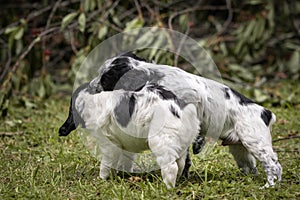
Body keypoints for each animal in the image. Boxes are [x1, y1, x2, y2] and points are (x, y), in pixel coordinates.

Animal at [58, 82, 199, 188]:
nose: (61, 130)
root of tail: (179, 110)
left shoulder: (108, 143)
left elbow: (106, 163)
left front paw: (102, 178)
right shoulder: (126, 143)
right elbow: (126, 159)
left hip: (160, 141)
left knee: (171, 167)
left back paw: (168, 187)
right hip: (179, 143)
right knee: (180, 163)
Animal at [89, 52, 284, 188]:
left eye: (105, 78)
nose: (91, 87)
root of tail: (266, 112)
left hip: (255, 141)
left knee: (273, 165)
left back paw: (269, 186)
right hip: (241, 150)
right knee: (252, 166)